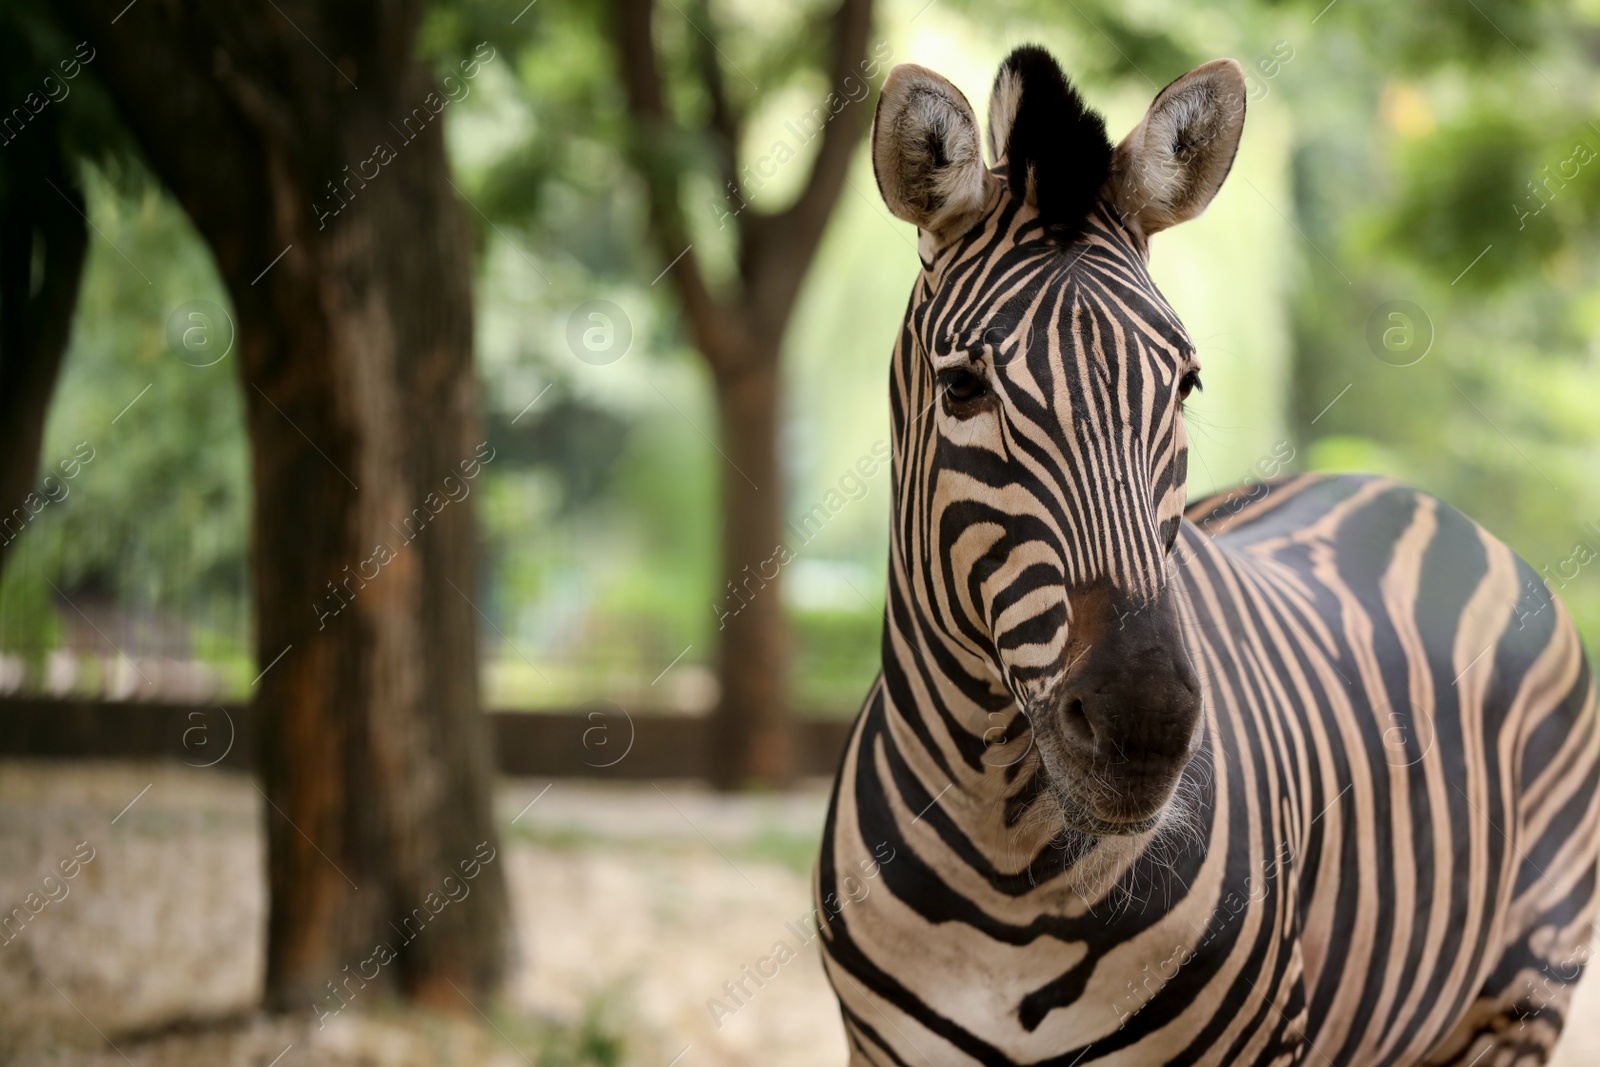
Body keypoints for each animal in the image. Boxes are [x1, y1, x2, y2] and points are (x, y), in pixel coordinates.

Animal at [819, 45, 1593, 1062]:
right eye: (961, 387)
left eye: (1185, 383)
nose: (1143, 727)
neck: (1005, 859)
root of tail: (1408, 495)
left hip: (1521, 992)